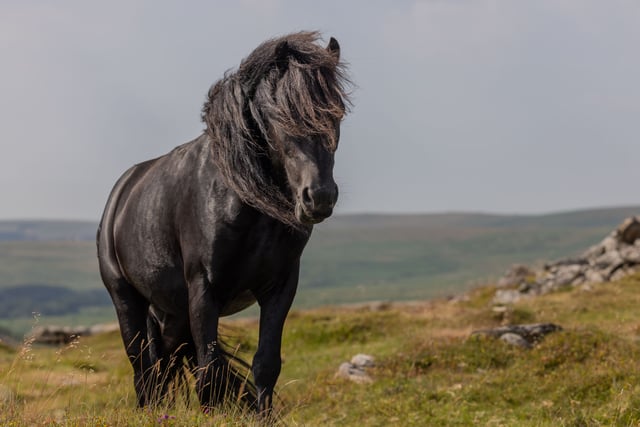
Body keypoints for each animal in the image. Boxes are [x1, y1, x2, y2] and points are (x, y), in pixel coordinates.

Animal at [96, 31, 350, 414]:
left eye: (337, 113)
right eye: (279, 115)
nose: (318, 197)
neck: (246, 200)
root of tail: (122, 190)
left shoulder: (280, 287)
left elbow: (265, 364)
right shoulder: (204, 289)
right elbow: (209, 369)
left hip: (172, 312)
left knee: (163, 365)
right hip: (128, 299)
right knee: (143, 365)